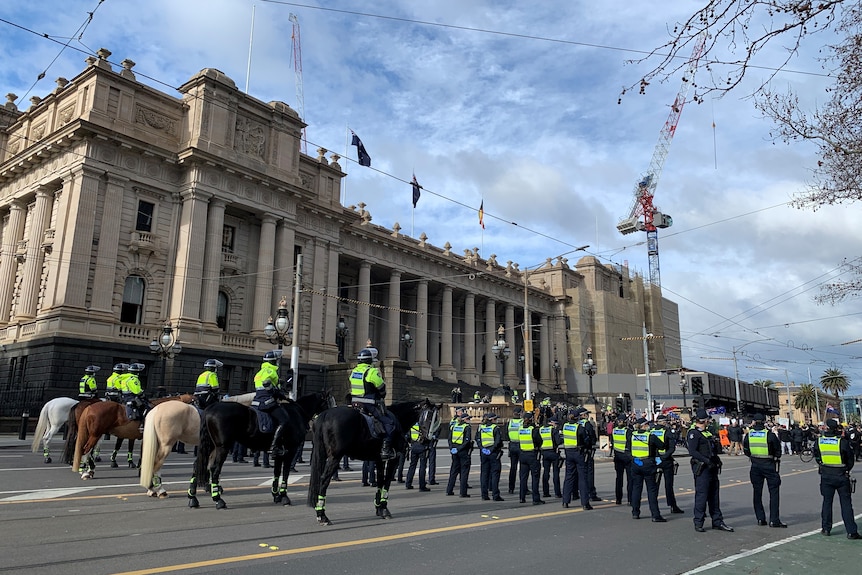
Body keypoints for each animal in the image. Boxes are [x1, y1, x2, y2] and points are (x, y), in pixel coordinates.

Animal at [189, 392, 338, 508]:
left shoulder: (280, 452)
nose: (335, 417)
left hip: (211, 446)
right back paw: (218, 500)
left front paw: (276, 495)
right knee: (214, 469)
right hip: (222, 447)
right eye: (331, 400)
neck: (297, 413)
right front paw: (284, 496)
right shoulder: (291, 450)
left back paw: (193, 499)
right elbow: (285, 472)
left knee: (198, 465)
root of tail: (211, 408)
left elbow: (277, 472)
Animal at [308, 400, 442, 528]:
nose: (427, 439)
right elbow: (386, 482)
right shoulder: (394, 459)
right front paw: (384, 509)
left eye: (436, 419)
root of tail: (325, 414)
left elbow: (380, 481)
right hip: (335, 457)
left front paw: (379, 508)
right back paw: (322, 516)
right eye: (428, 415)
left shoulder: (379, 459)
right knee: (324, 480)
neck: (398, 418)